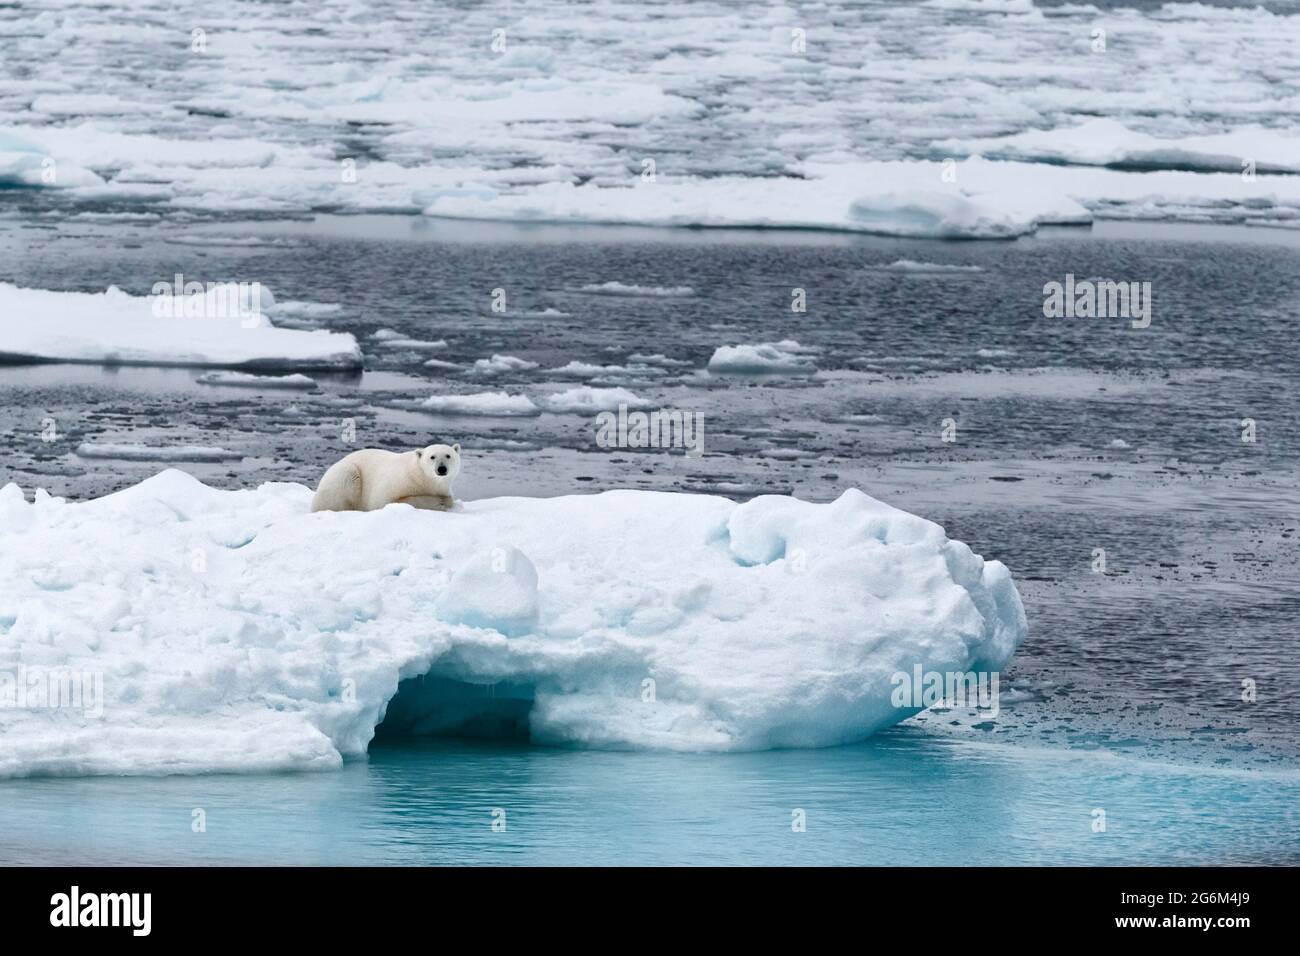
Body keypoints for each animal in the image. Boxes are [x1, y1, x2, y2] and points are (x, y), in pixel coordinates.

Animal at [310, 442, 462, 512]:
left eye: (448, 455)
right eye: (432, 457)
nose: (441, 469)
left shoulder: (442, 487)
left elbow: (450, 498)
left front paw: (444, 501)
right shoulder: (399, 480)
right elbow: (385, 501)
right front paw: (439, 503)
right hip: (345, 474)